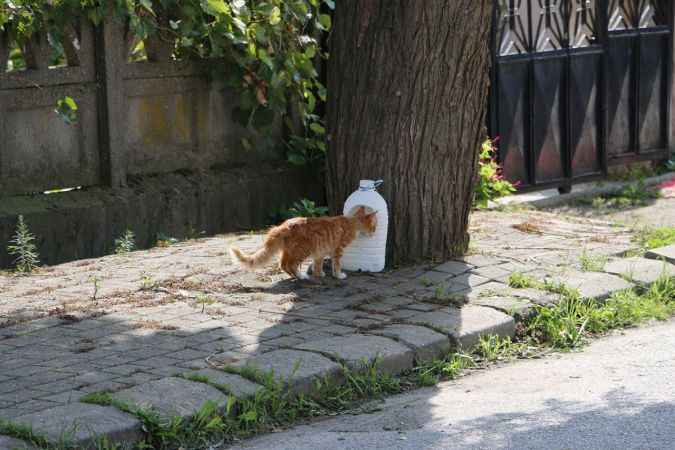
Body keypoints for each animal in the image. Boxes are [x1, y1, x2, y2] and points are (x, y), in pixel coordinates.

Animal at [230, 207, 378, 278]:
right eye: (374, 226)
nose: (375, 232)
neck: (351, 222)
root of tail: (283, 225)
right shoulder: (337, 250)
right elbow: (336, 265)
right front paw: (338, 275)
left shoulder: (320, 252)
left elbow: (318, 265)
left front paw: (319, 274)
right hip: (302, 251)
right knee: (290, 265)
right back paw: (301, 276)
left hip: (289, 251)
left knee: (283, 264)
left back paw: (296, 276)